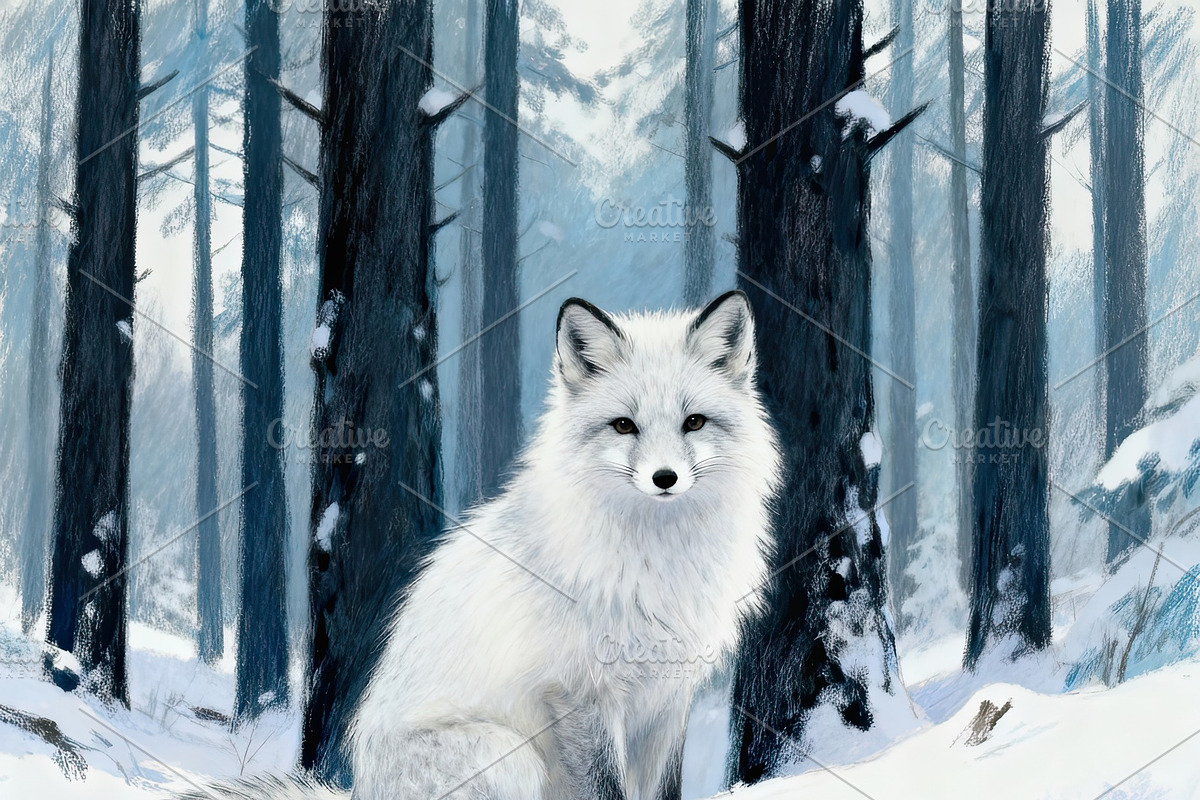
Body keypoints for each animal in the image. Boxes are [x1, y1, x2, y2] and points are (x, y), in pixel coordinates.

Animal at [185, 291, 781, 800]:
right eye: (623, 426)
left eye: (694, 422)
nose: (664, 479)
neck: (656, 562)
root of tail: (358, 790)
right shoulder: (580, 692)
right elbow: (606, 791)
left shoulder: (668, 697)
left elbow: (663, 790)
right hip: (512, 756)